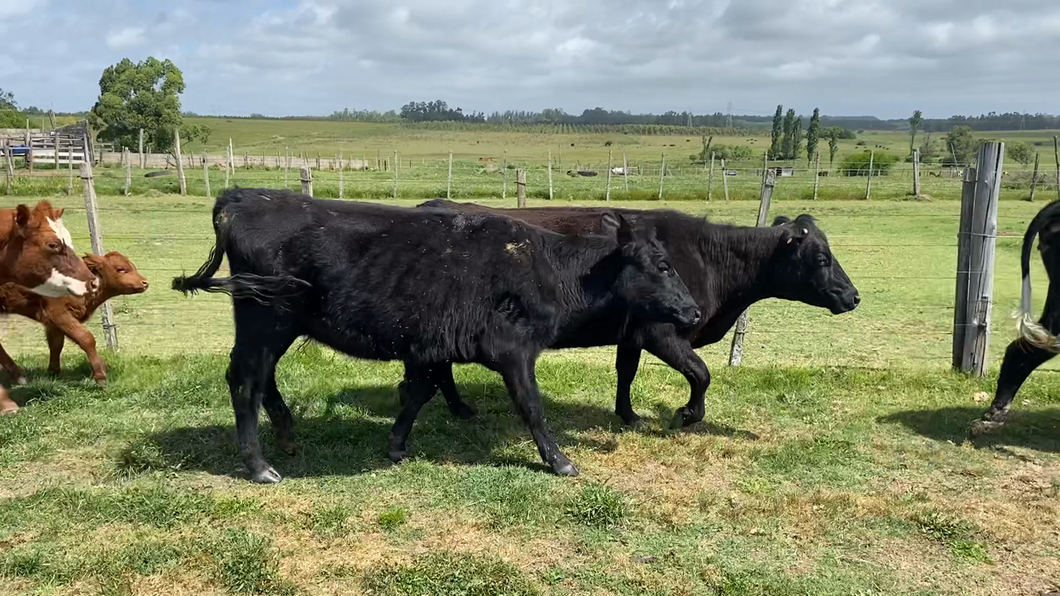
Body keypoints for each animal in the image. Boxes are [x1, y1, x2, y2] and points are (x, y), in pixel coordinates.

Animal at [171, 189, 703, 483]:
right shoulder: (513, 350)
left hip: (273, 325)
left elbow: (419, 392)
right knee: (246, 382)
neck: (548, 266)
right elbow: (532, 407)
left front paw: (396, 444)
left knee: (262, 380)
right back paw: (260, 466)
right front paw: (559, 461)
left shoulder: (431, 347)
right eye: (662, 265)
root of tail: (242, 196)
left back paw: (285, 436)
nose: (693, 310)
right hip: (266, 319)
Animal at [413, 199, 860, 426]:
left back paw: (458, 408)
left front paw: (628, 415)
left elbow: (625, 372)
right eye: (821, 257)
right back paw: (459, 409)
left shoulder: (631, 335)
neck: (707, 257)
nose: (854, 296)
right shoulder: (664, 332)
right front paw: (688, 415)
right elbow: (701, 373)